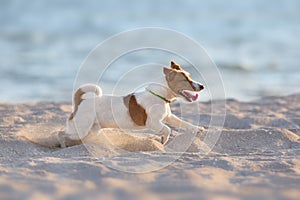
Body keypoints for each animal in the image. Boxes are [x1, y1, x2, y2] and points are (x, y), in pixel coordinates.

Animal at [61, 61, 205, 147]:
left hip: (92, 129)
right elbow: (167, 129)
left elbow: (184, 123)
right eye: (185, 80)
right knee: (62, 135)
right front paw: (164, 140)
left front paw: (198, 129)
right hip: (79, 129)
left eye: (189, 76)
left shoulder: (169, 117)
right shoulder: (153, 123)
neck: (159, 96)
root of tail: (80, 102)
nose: (202, 86)